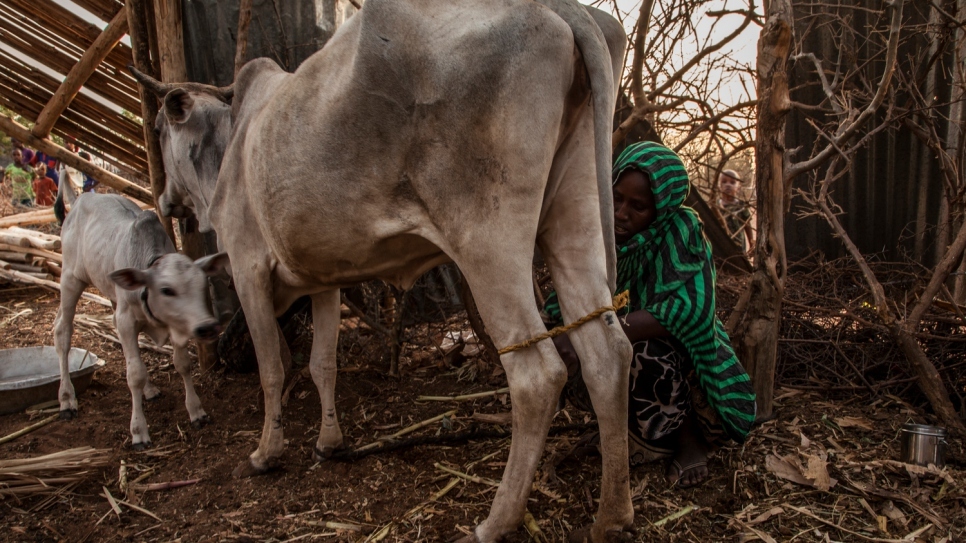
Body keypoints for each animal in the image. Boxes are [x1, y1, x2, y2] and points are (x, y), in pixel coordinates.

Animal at [56, 193, 229, 448]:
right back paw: (67, 399)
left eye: (202, 283)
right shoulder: (127, 320)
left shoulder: (176, 323)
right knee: (63, 332)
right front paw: (138, 431)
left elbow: (182, 364)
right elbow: (134, 374)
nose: (207, 327)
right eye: (167, 290)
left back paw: (149, 390)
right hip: (71, 278)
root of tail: (81, 198)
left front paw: (196, 411)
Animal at [132, 2, 640, 540]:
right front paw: (329, 443)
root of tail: (561, 8)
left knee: (538, 375)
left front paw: (265, 454)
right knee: (608, 353)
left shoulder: (248, 269)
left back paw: (495, 522)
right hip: (574, 214)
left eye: (160, 131)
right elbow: (323, 364)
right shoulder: (323, 281)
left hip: (488, 240)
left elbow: (274, 367)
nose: (164, 199)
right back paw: (611, 515)